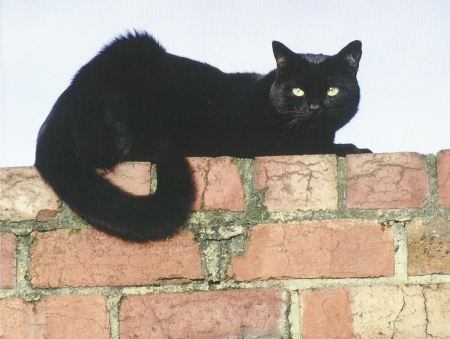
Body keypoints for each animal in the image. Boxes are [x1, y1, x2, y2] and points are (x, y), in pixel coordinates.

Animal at [35, 31, 370, 242]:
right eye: (298, 90)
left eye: (332, 90)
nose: (314, 108)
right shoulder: (272, 145)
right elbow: (323, 148)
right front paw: (353, 148)